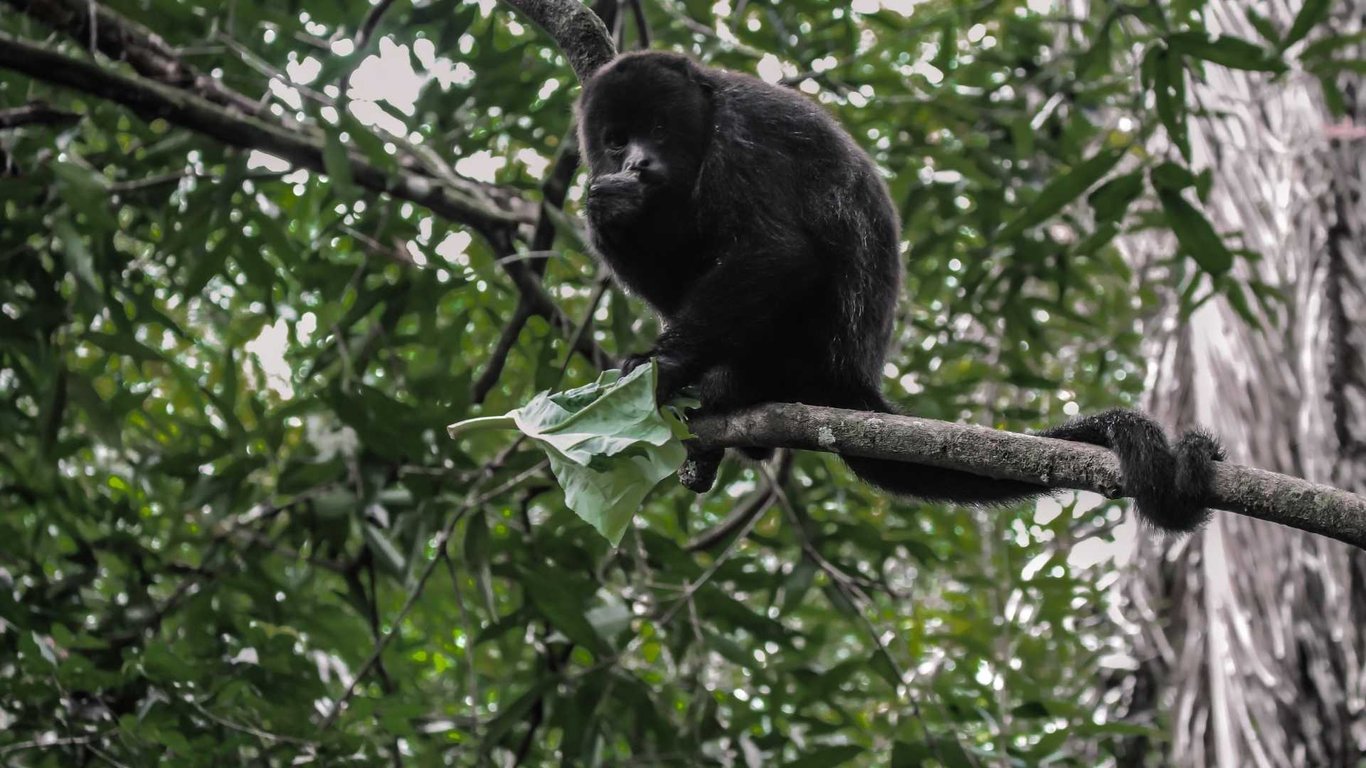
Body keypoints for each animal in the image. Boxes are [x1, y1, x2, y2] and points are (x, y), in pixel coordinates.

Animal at [570, 52, 1223, 532]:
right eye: (616, 139)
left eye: (658, 128)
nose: (637, 163)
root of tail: (850, 380)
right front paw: (610, 211)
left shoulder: (742, 135)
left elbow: (777, 253)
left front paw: (660, 367)